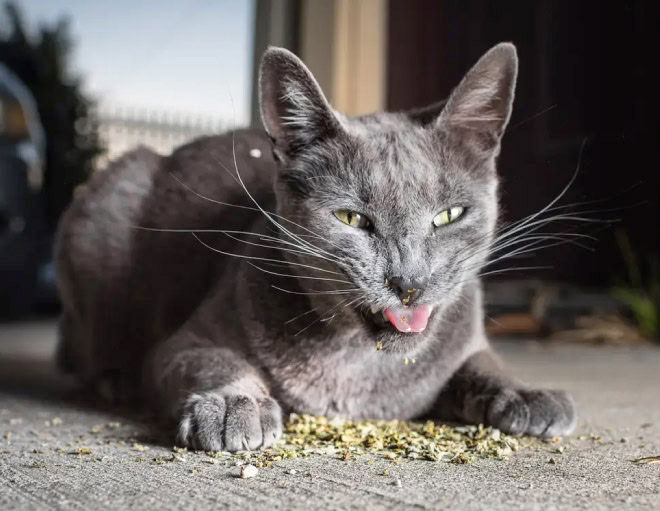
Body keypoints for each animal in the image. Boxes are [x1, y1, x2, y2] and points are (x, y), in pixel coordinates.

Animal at [54, 44, 576, 452]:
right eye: (352, 219)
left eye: (449, 216)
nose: (409, 283)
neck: (355, 363)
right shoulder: (184, 342)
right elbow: (213, 360)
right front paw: (234, 406)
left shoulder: (467, 342)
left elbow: (485, 363)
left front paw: (529, 395)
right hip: (108, 201)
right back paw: (115, 380)